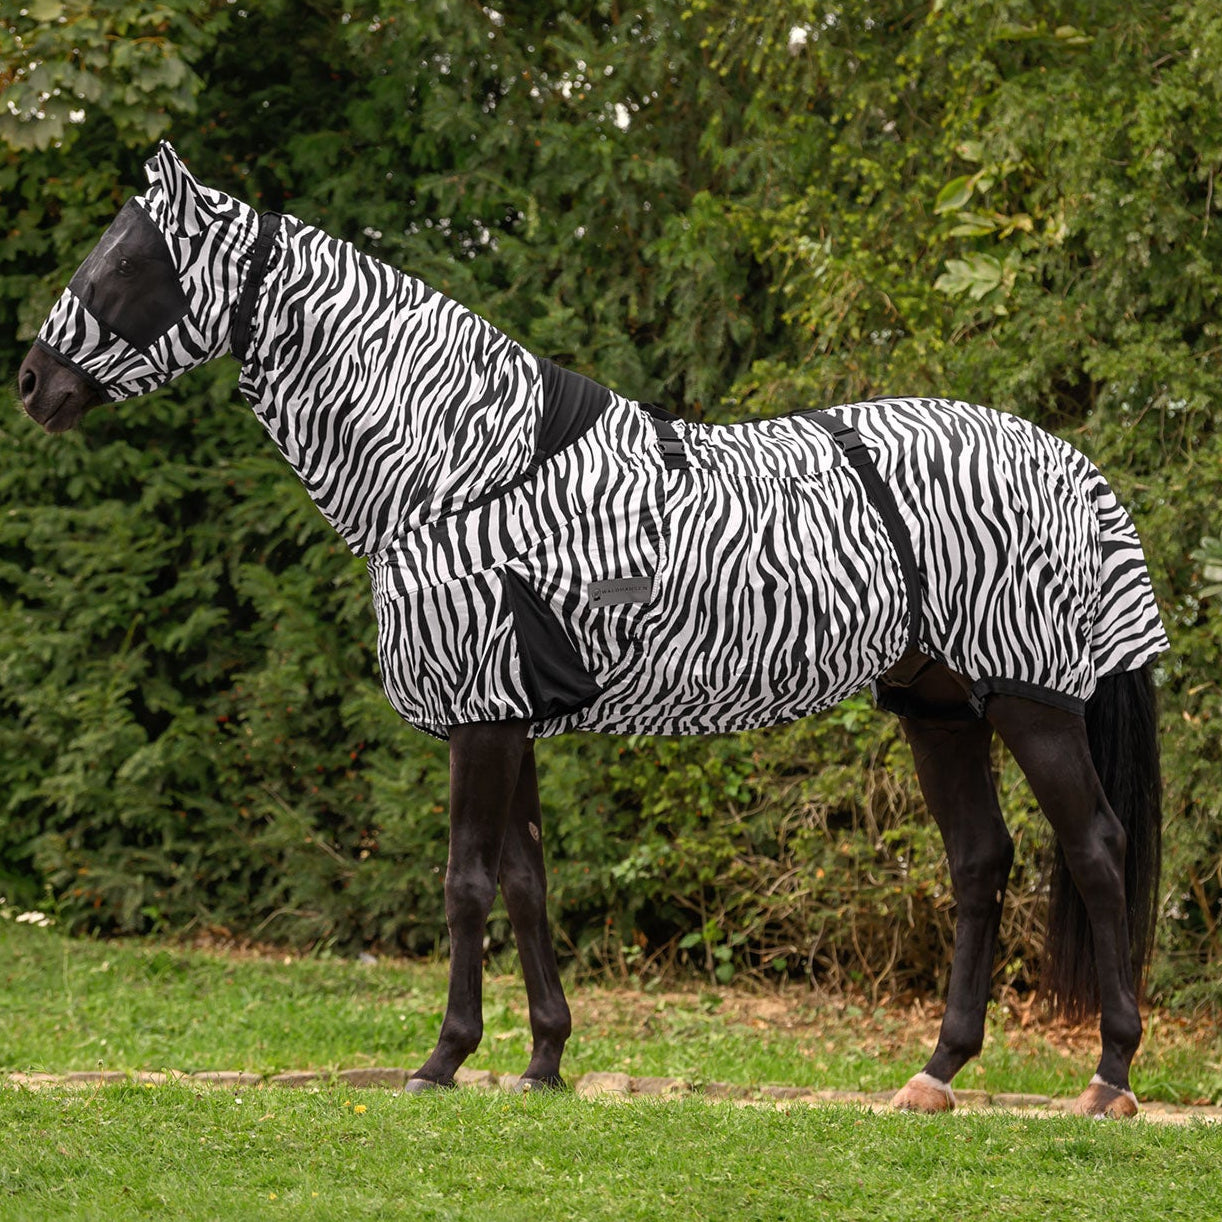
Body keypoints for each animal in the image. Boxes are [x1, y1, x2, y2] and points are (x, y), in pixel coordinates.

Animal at [19, 142, 1169, 1117]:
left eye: (124, 259)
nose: (33, 384)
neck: (460, 471)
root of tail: (1068, 461)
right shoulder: (508, 715)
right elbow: (525, 885)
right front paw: (542, 1060)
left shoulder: (481, 716)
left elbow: (464, 883)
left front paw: (443, 1059)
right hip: (938, 707)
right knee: (980, 861)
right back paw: (935, 1073)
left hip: (1030, 700)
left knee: (1096, 849)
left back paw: (1109, 1076)